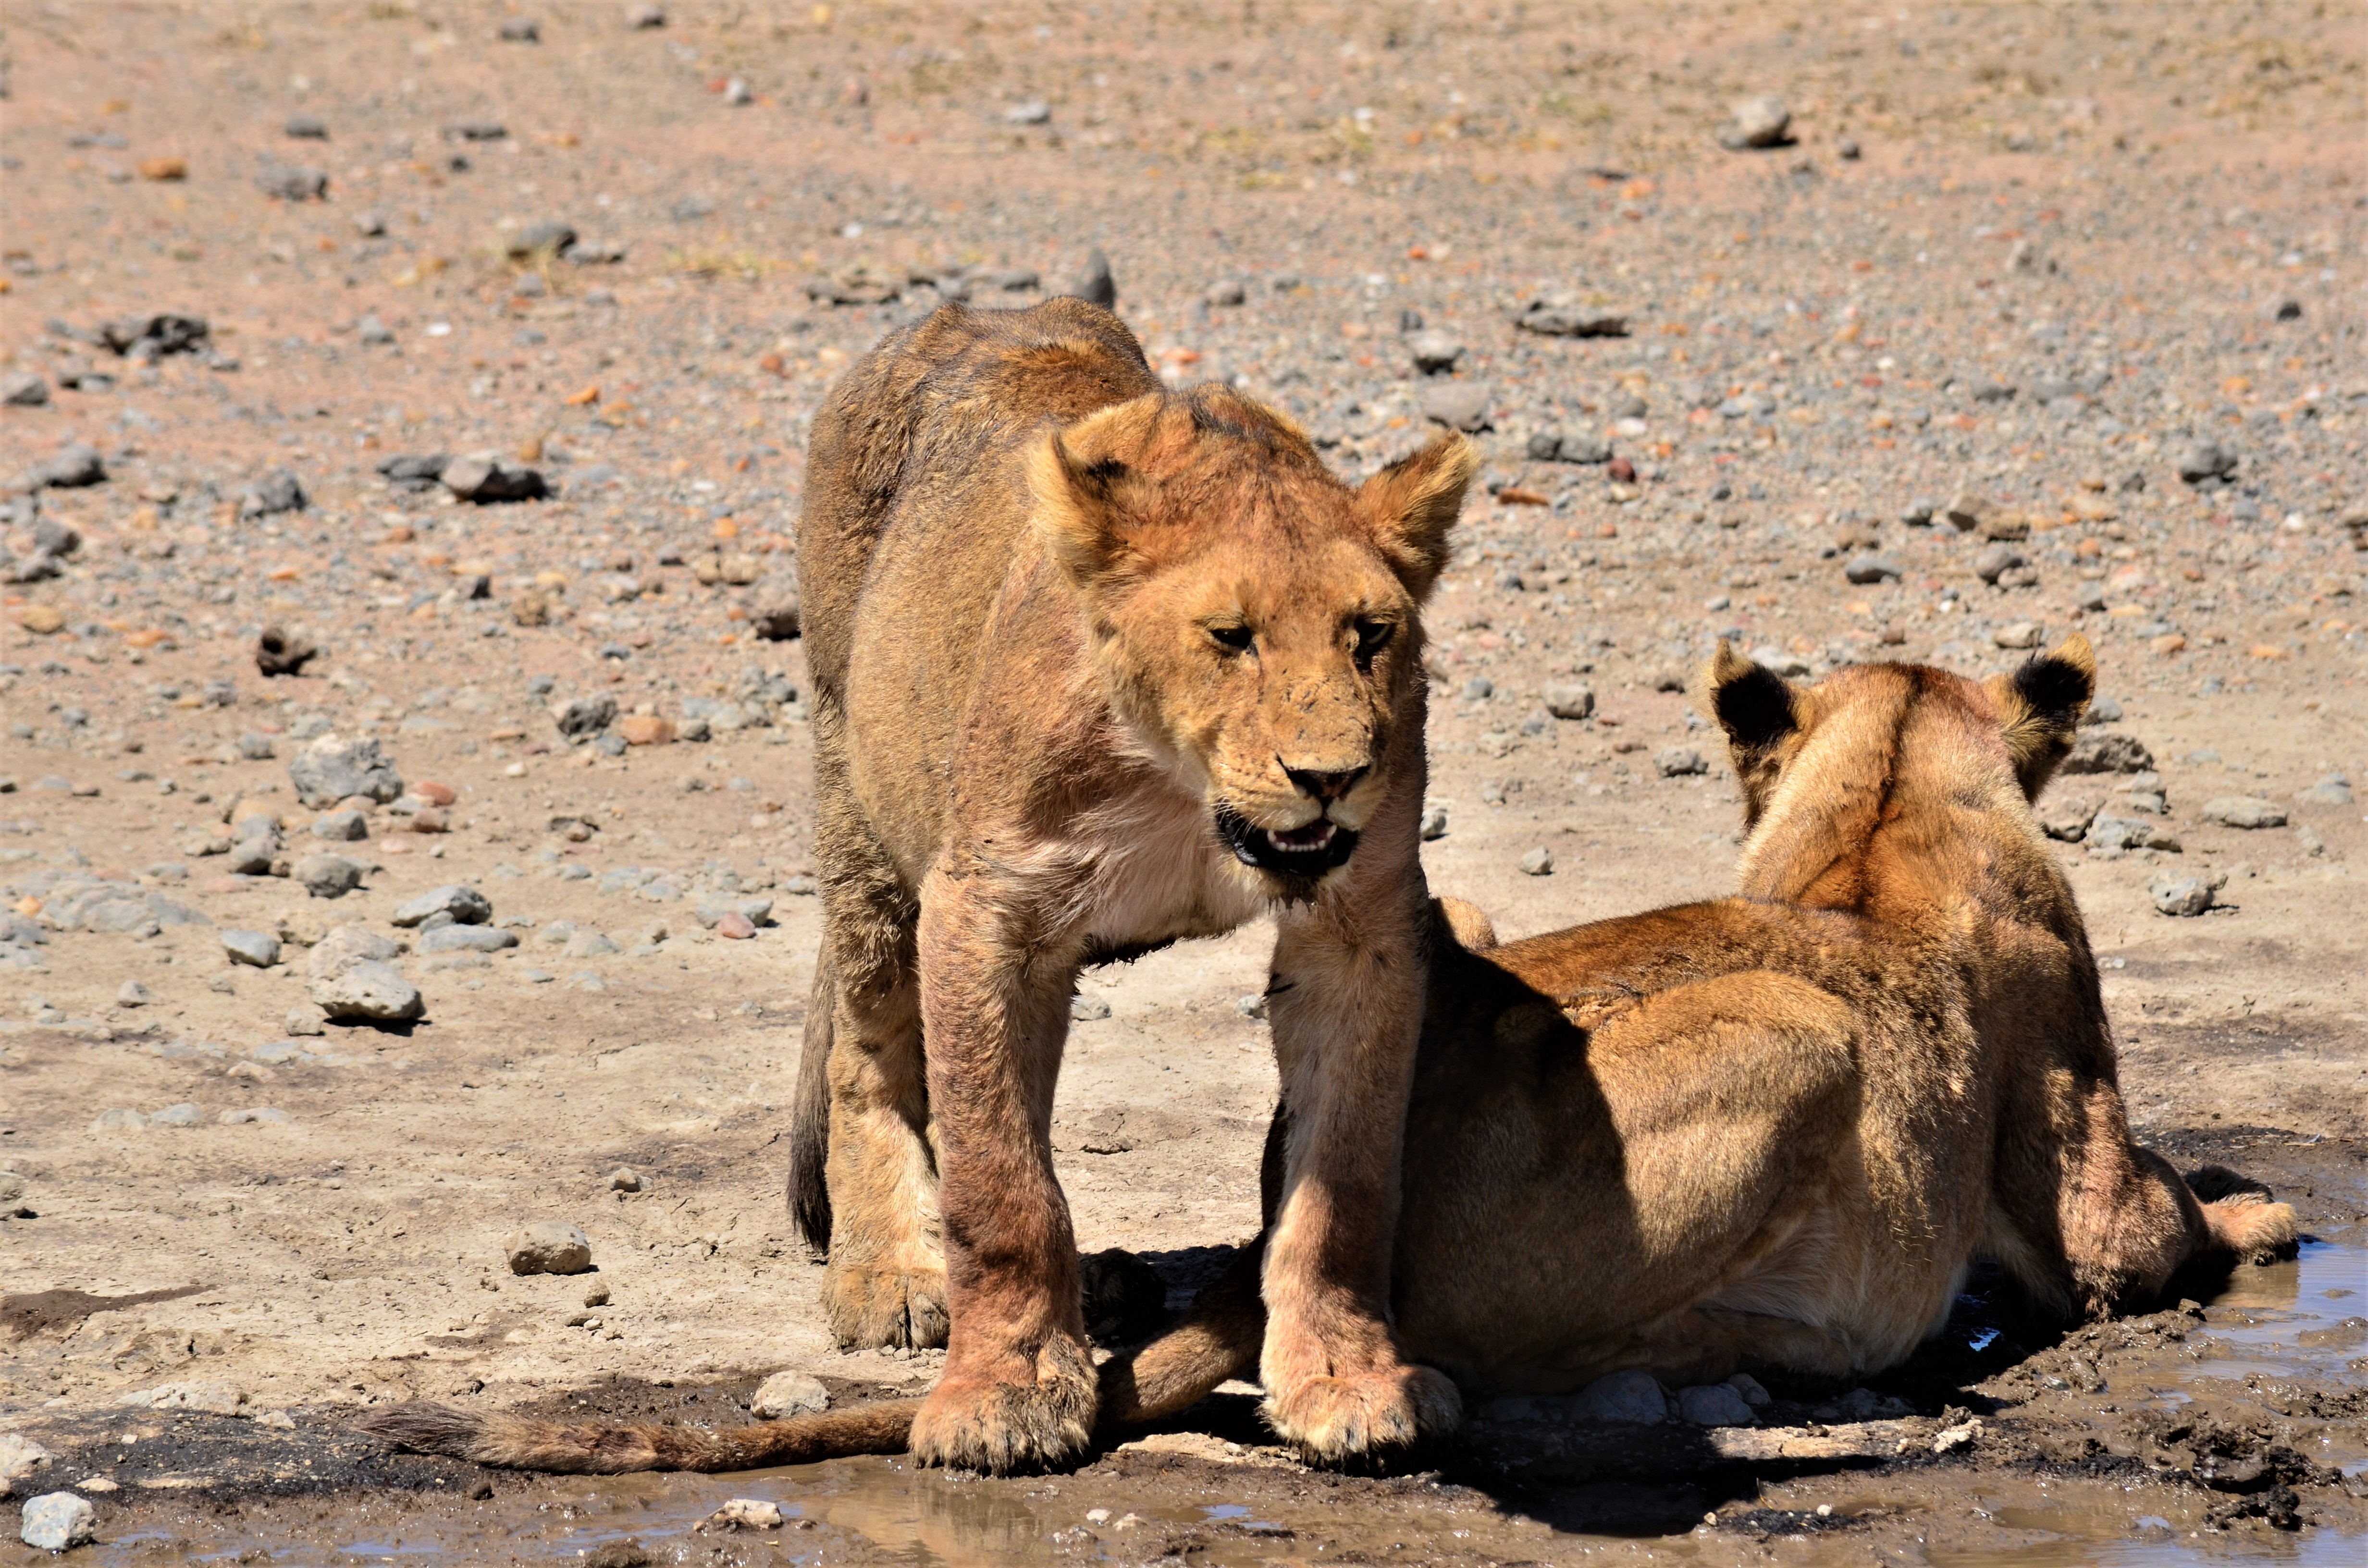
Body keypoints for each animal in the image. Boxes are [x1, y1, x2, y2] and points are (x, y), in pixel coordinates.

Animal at [359, 637, 2295, 1475]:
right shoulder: (2077, 1116)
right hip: (1798, 1046)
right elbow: (2154, 1223)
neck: (1886, 792)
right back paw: (1780, 1358)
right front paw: (2270, 1211)